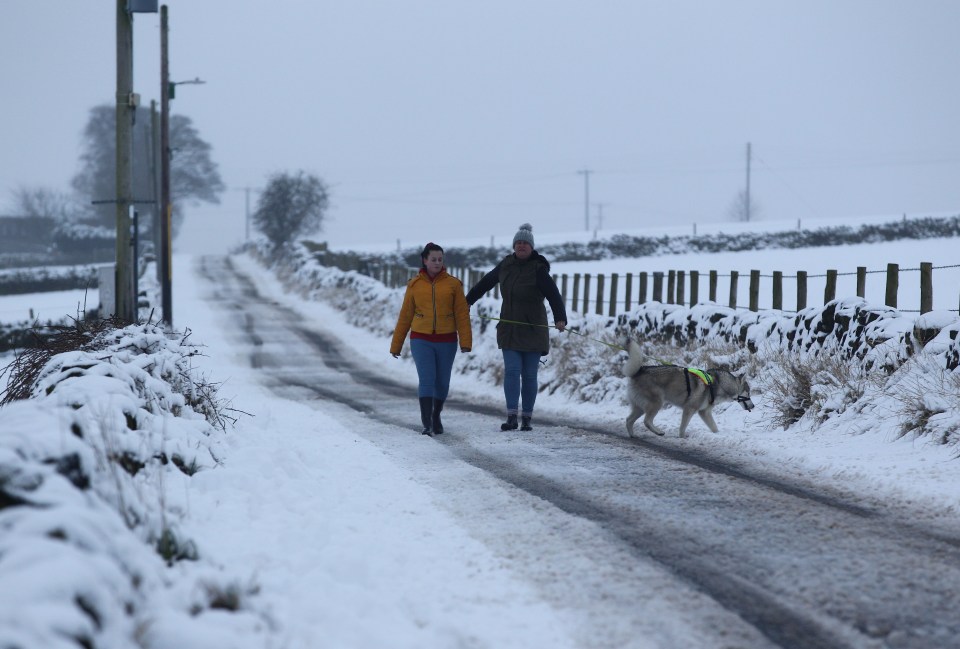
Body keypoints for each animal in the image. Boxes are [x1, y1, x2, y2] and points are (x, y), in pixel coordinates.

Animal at [624, 336, 756, 438]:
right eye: (748, 393)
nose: (754, 406)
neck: (718, 384)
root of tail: (639, 371)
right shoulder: (689, 409)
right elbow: (683, 427)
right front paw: (682, 437)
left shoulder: (704, 412)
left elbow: (714, 427)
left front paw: (717, 435)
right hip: (657, 403)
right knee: (646, 421)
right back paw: (658, 432)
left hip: (640, 407)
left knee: (629, 420)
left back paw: (633, 435)